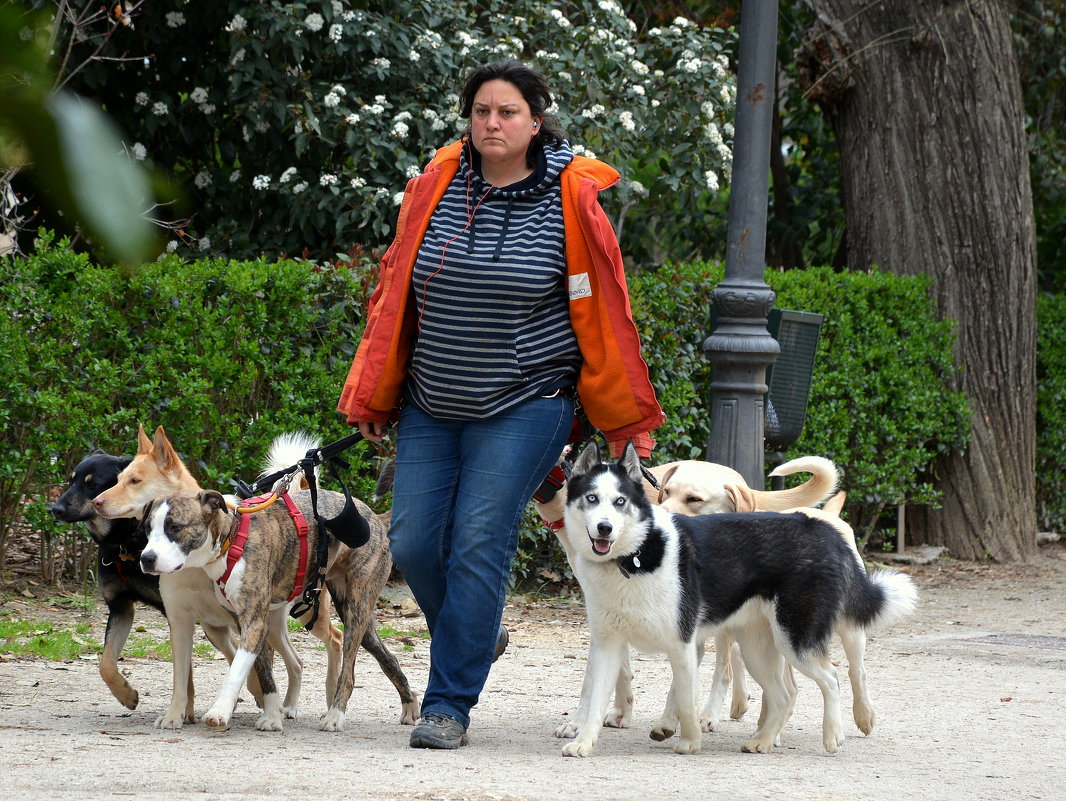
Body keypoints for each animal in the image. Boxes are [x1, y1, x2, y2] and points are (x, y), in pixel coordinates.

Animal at [48, 452, 159, 708]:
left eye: (92, 484)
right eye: (71, 480)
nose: (55, 509)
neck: (124, 543)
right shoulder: (120, 608)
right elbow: (105, 664)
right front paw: (126, 694)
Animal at [562, 445, 921, 759]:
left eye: (620, 501)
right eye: (591, 499)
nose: (604, 528)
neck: (636, 556)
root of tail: (821, 527)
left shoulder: (683, 645)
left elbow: (685, 700)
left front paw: (690, 741)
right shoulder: (608, 645)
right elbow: (595, 700)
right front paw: (583, 742)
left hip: (800, 640)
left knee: (837, 677)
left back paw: (836, 733)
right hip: (757, 648)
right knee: (784, 695)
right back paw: (763, 740)